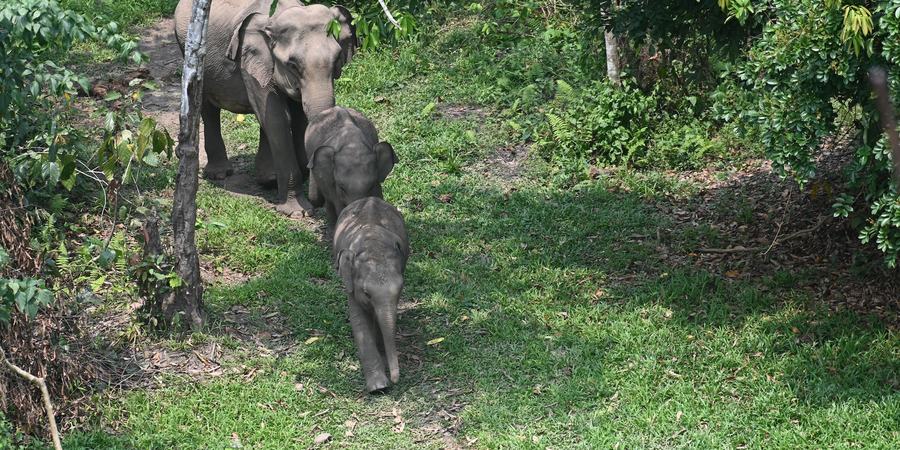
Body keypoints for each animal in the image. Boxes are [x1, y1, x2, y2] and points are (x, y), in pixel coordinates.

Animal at [174, 0, 356, 215]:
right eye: (292, 65)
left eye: (337, 59)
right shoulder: (252, 61)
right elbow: (277, 119)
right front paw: (298, 212)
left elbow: (297, 116)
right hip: (190, 53)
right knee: (207, 105)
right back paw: (219, 174)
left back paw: (268, 179)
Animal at [333, 197, 409, 393]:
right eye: (366, 293)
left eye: (401, 288)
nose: (395, 380)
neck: (372, 246)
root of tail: (369, 198)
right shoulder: (351, 282)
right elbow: (359, 320)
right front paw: (378, 387)